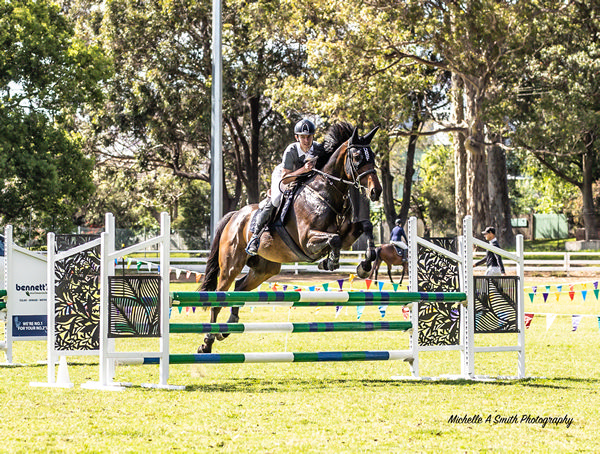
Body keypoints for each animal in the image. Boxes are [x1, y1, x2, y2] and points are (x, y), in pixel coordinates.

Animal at [199, 122, 382, 352]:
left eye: (372, 156)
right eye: (357, 156)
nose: (376, 191)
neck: (326, 192)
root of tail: (235, 216)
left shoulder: (348, 234)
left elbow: (366, 226)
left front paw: (364, 266)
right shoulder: (307, 240)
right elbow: (334, 239)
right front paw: (329, 263)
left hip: (265, 268)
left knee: (239, 287)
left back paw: (228, 327)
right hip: (231, 265)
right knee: (218, 297)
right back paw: (207, 342)